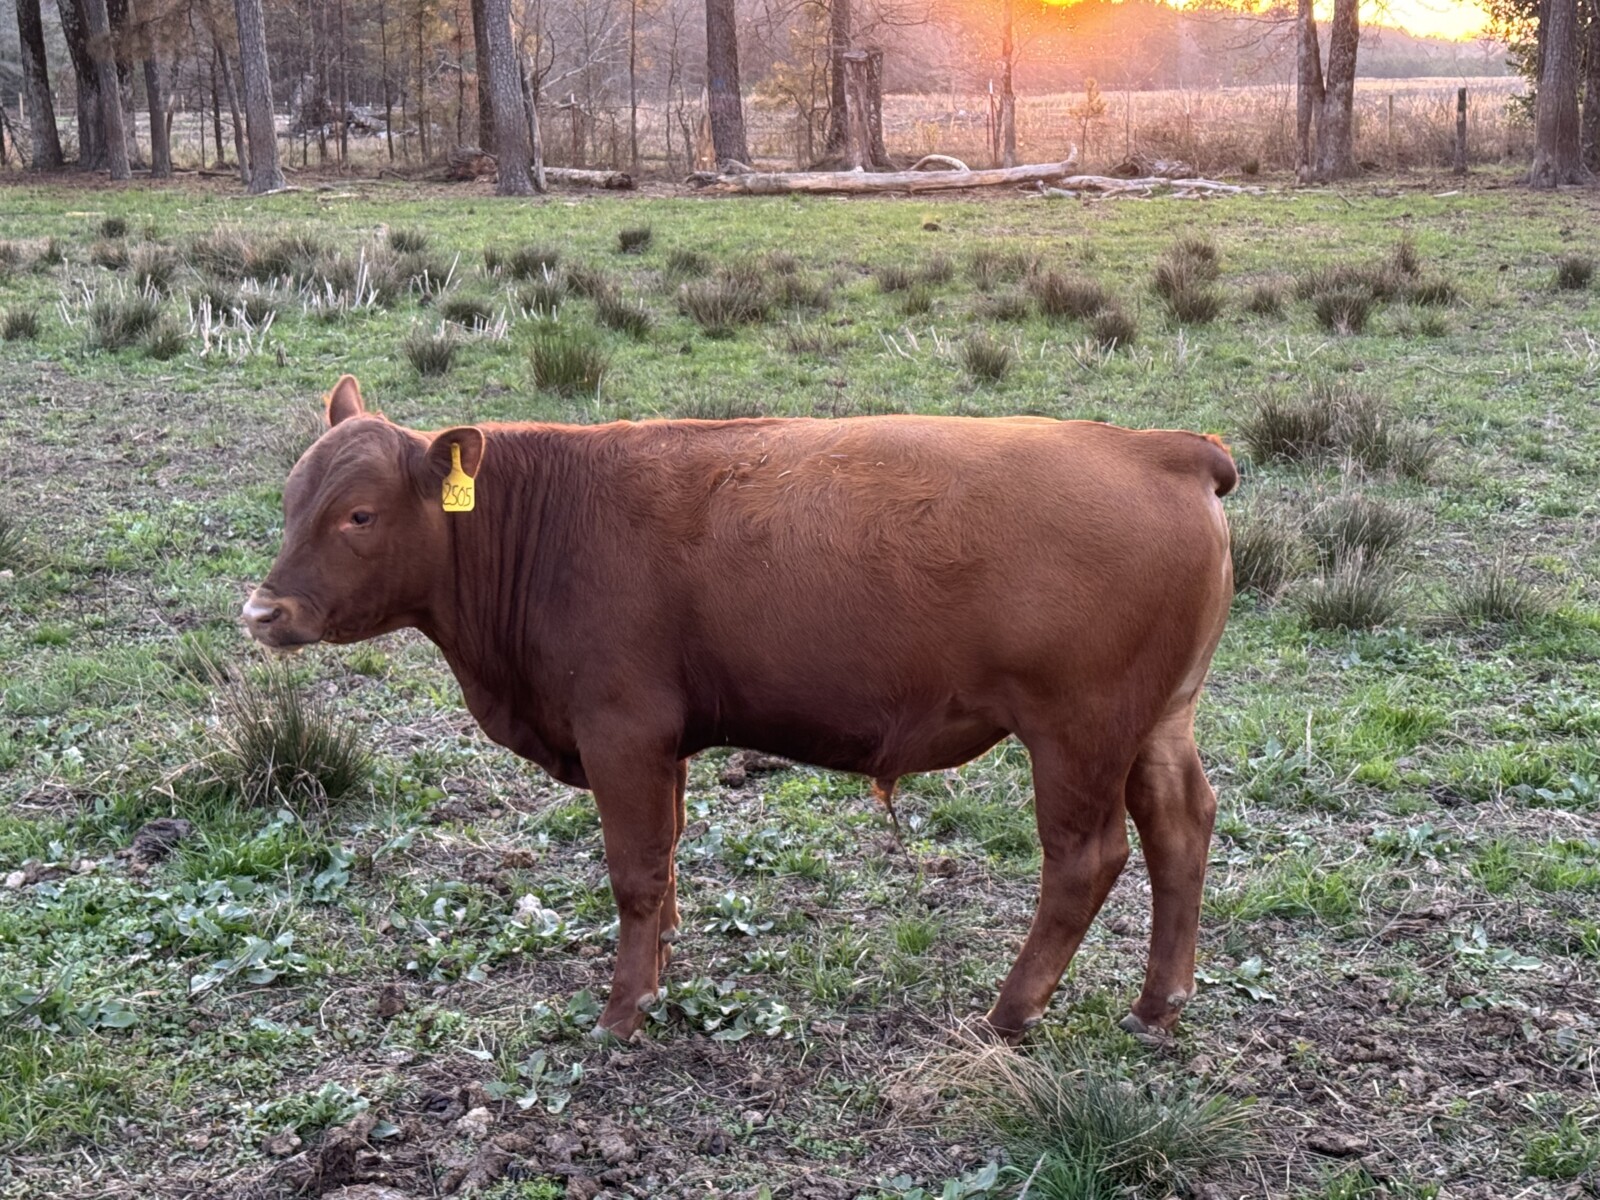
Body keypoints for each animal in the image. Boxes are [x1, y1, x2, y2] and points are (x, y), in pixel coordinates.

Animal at [244, 375, 1238, 1044]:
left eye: (360, 515)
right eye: (292, 499)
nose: (262, 612)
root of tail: (1163, 447)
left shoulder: (622, 730)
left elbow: (634, 870)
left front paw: (624, 1007)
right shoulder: (664, 742)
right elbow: (668, 856)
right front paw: (662, 961)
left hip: (1077, 731)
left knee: (1086, 859)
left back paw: (1011, 1010)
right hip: (1156, 723)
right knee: (1181, 827)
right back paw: (1159, 1003)